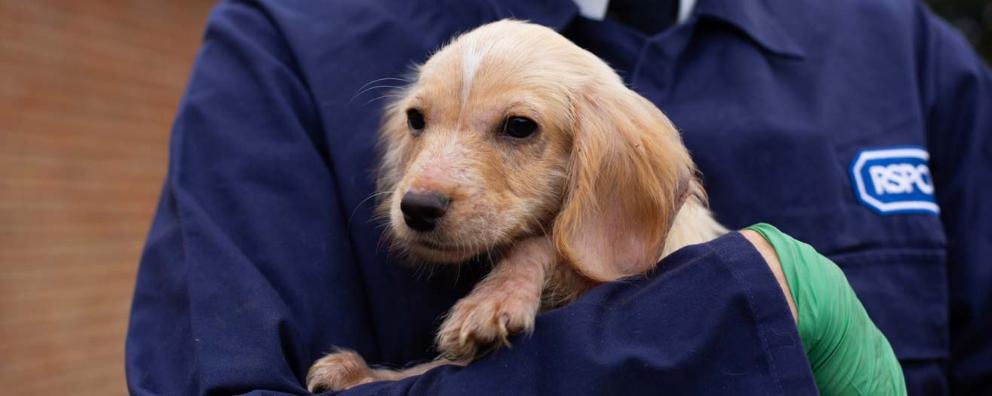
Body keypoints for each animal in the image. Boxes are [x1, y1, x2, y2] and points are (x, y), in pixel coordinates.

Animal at [306, 20, 724, 392]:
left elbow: (541, 242)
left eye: (520, 126)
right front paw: (360, 375)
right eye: (415, 119)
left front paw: (493, 299)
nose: (417, 208)